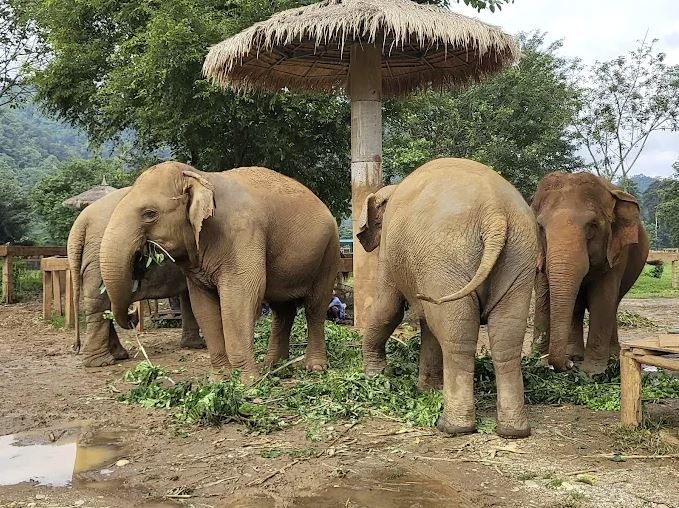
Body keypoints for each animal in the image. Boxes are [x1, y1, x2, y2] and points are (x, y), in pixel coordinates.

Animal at [67, 188, 205, 367]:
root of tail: (81, 222)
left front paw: (194, 345)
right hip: (98, 258)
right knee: (100, 303)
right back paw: (102, 362)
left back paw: (117, 355)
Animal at [98, 162, 340, 383]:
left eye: (150, 214)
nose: (132, 317)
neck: (201, 176)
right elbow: (203, 306)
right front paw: (219, 380)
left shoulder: (243, 234)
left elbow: (239, 299)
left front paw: (247, 384)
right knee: (282, 310)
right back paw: (271, 366)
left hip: (329, 252)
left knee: (315, 308)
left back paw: (315, 368)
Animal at [357, 158, 537, 438]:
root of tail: (495, 213)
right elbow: (427, 322)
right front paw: (427, 390)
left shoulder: (390, 250)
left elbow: (389, 308)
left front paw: (375, 376)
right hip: (519, 256)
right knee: (507, 335)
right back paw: (513, 431)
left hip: (446, 258)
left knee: (457, 335)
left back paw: (453, 426)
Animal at [531, 172, 649, 374]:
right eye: (540, 227)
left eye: (592, 225)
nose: (568, 365)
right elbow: (543, 292)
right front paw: (536, 362)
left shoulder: (616, 253)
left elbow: (602, 298)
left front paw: (591, 372)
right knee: (578, 306)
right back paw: (575, 354)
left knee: (612, 303)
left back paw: (611, 356)